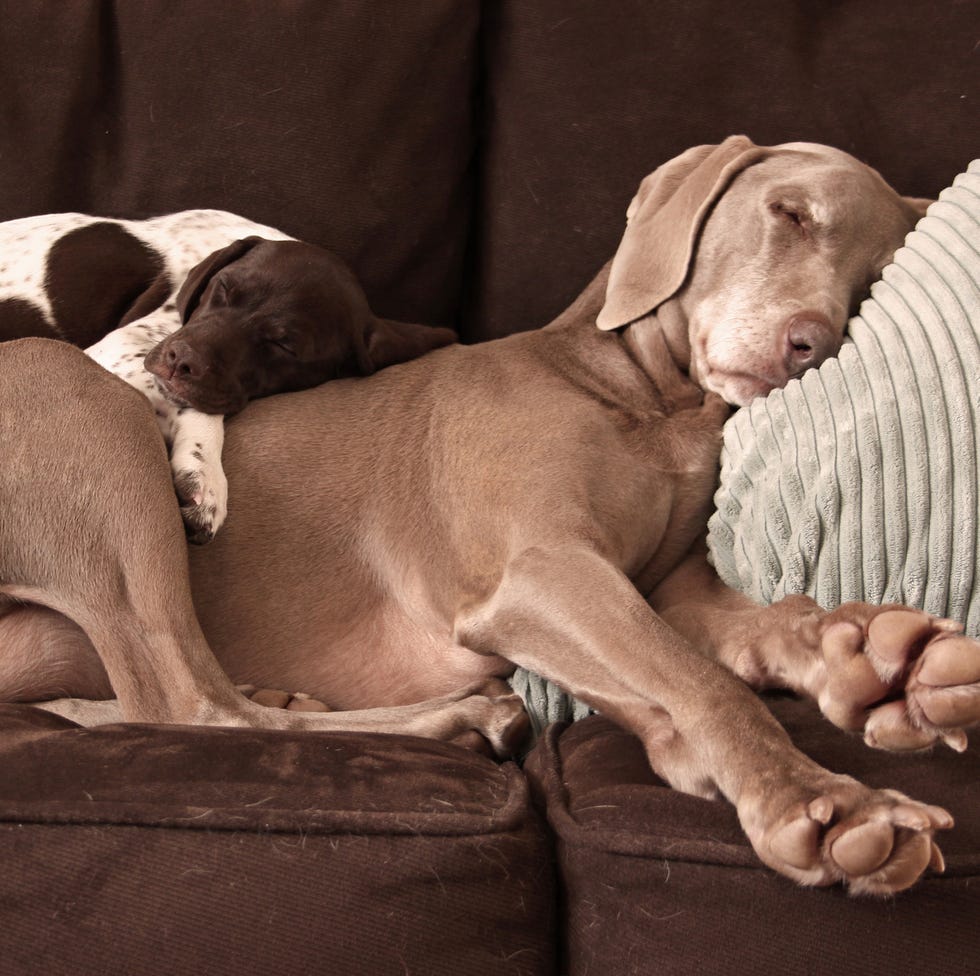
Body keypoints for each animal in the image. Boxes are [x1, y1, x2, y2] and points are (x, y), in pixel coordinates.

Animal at [0, 210, 460, 540]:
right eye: (222, 289)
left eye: (283, 344)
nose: (179, 360)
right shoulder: (118, 350)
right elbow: (201, 409)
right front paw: (204, 473)